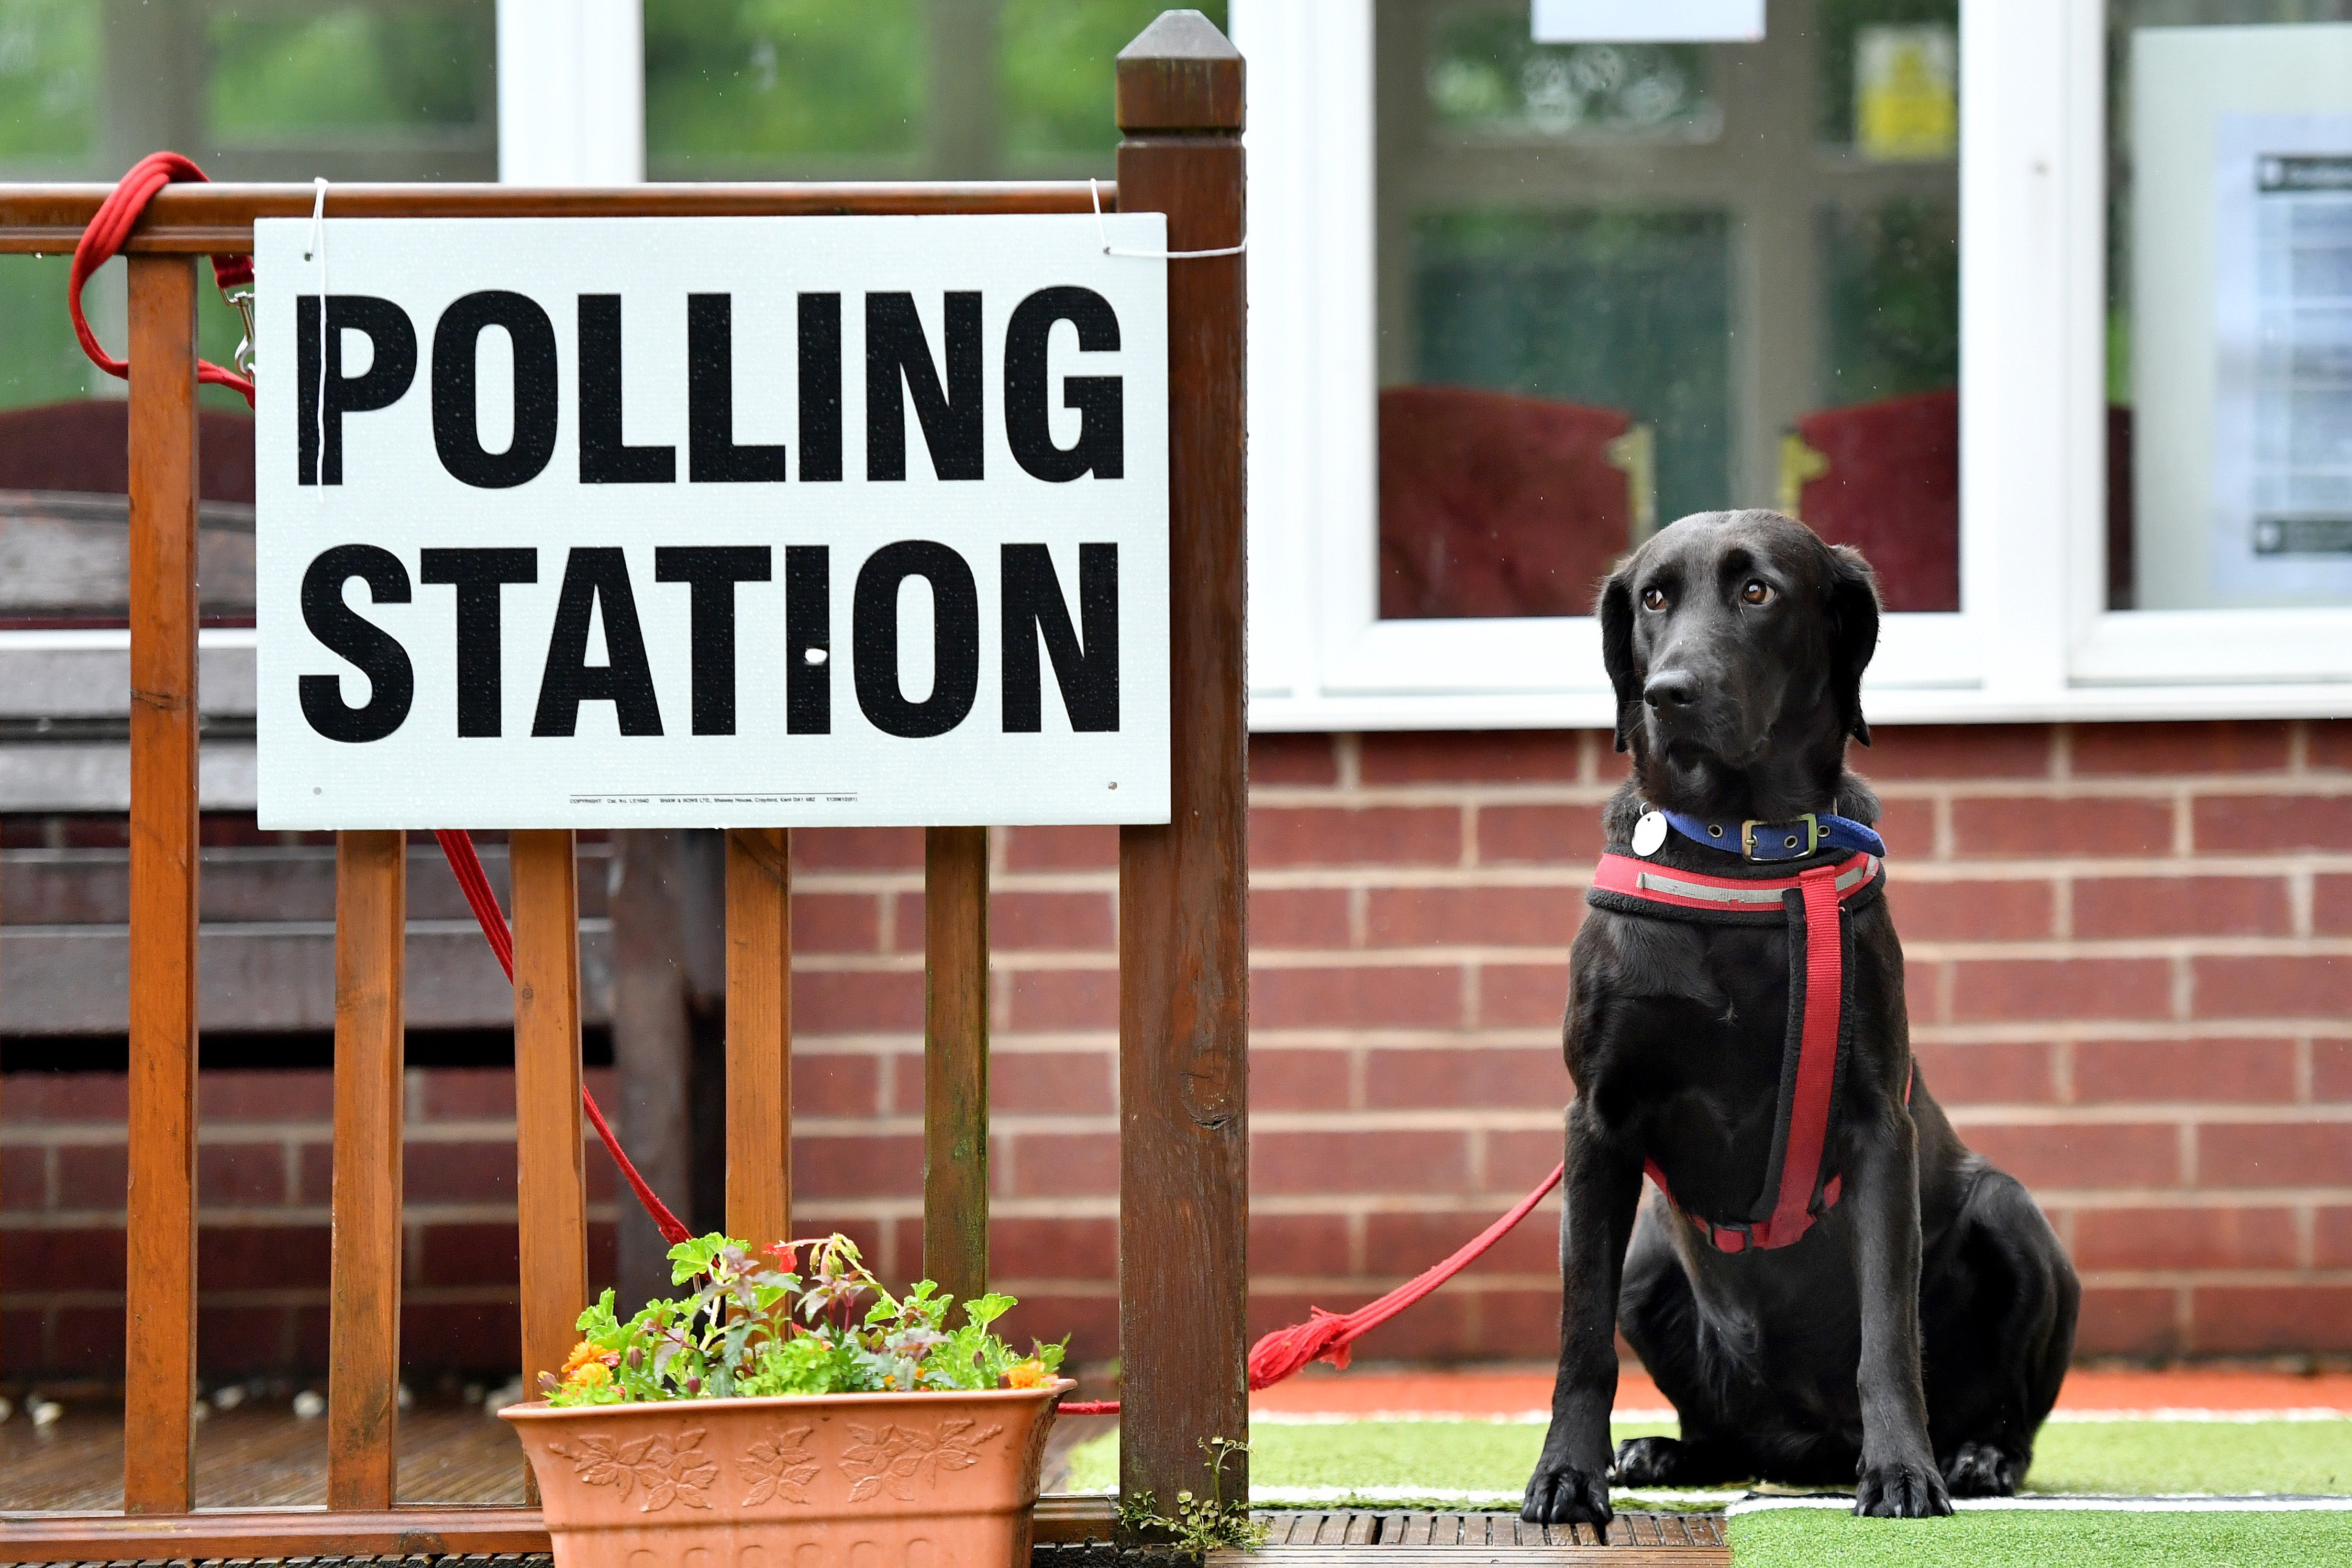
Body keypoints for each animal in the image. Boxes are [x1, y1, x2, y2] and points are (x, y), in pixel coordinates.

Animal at [1524, 512, 2079, 1523]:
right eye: (1653, 598)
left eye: (1758, 592)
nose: (1667, 695)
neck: (1739, 849)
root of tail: (1809, 1444)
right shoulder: (1597, 1122)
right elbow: (1581, 1336)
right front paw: (1566, 1475)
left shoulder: (1875, 1125)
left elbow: (1887, 1335)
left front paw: (1904, 1472)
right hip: (1650, 1257)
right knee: (1719, 1426)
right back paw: (1665, 1452)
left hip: (2008, 1212)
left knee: (2008, 1412)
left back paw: (1973, 1456)